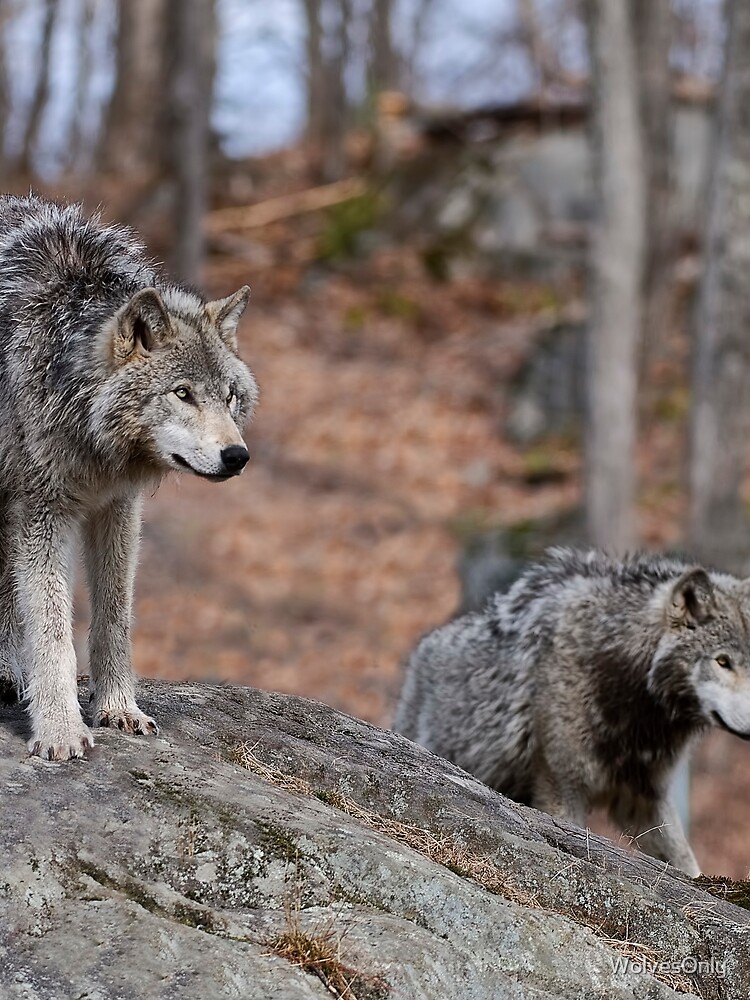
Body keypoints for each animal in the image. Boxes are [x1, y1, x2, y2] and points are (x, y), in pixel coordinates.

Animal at [0, 194, 258, 761]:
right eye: (182, 393)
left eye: (230, 397)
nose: (237, 456)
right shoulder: (42, 512)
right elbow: (51, 628)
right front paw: (60, 730)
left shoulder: (117, 506)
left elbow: (114, 617)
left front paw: (119, 707)